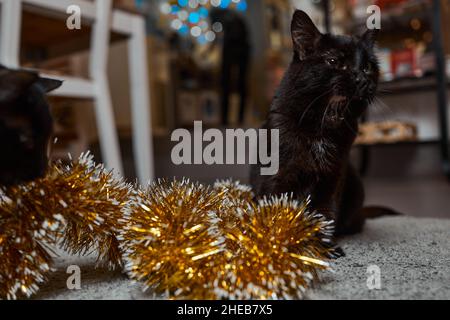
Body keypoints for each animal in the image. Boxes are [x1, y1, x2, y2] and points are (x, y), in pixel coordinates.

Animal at [250, 10, 398, 235]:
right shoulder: (277, 172)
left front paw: (321, 240)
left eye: (367, 67)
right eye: (334, 61)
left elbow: (324, 210)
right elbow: (274, 202)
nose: (363, 79)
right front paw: (273, 238)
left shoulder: (333, 174)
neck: (324, 122)